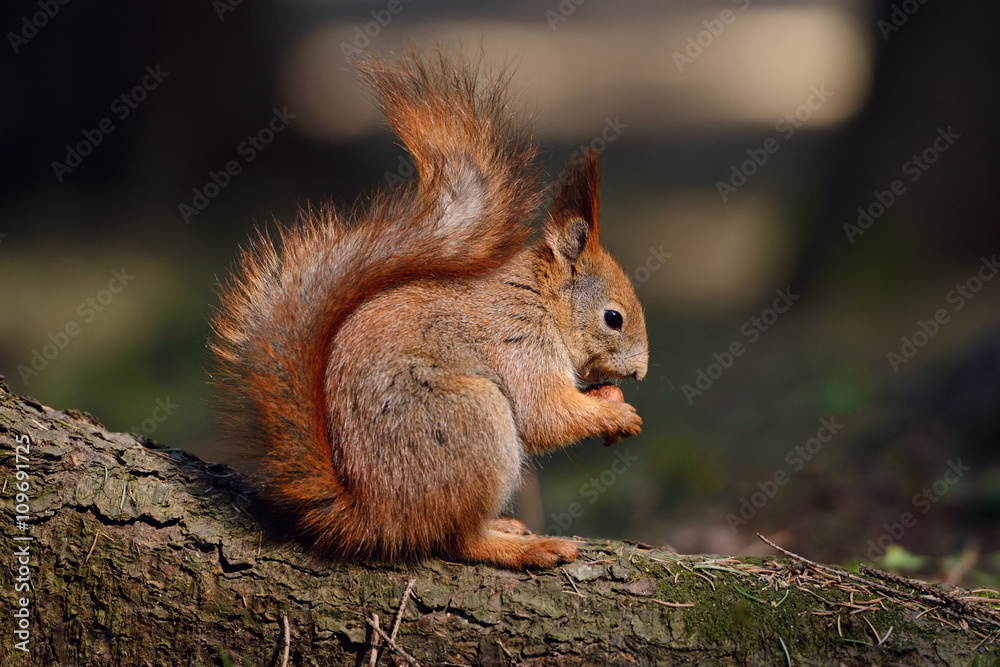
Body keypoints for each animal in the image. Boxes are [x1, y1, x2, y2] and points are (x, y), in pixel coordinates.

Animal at [209, 50, 648, 570]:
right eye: (613, 318)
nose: (641, 372)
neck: (540, 300)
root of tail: (373, 514)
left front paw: (609, 402)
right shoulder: (520, 342)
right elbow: (544, 413)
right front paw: (617, 416)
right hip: (471, 420)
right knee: (458, 538)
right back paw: (527, 547)